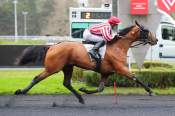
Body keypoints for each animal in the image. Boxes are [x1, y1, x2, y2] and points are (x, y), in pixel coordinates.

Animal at [14, 21, 158, 104]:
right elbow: (135, 77)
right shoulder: (121, 68)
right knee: (36, 78)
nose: (156, 40)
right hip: (53, 68)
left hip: (68, 67)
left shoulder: (106, 72)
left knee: (66, 83)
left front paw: (84, 89)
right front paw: (151, 91)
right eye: (146, 30)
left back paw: (80, 98)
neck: (118, 47)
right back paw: (21, 91)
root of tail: (52, 46)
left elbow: (100, 88)